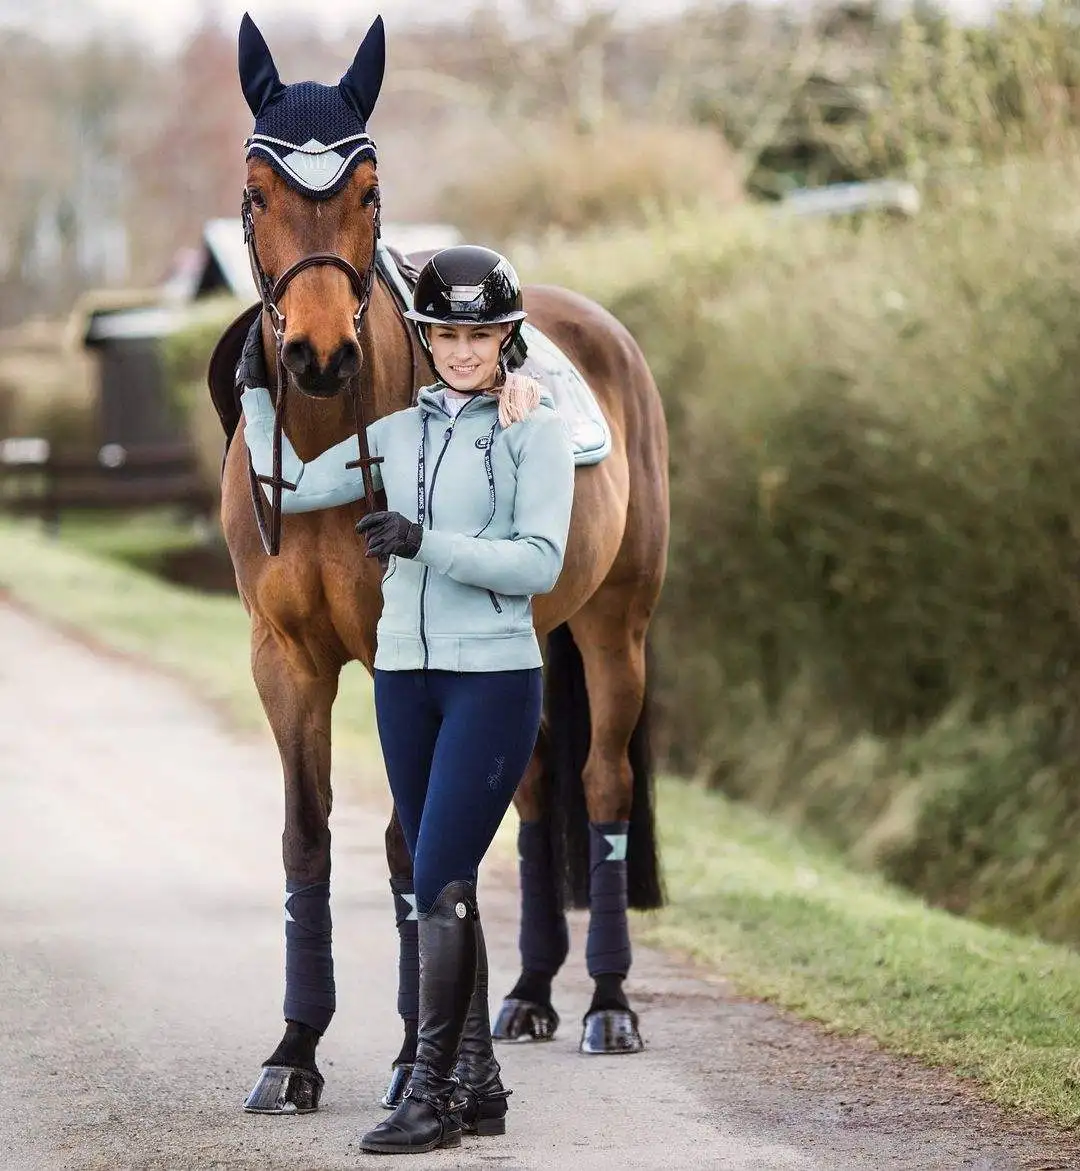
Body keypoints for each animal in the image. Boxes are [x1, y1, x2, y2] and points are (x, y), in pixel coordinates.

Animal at [208, 14, 669, 1114]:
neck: (333, 439)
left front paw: (408, 1056)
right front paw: (295, 1049)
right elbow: (309, 836)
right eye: (257, 190)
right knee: (537, 784)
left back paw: (606, 1003)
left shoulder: (399, 664)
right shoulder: (283, 658)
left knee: (598, 785)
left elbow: (408, 841)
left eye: (370, 191)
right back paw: (532, 992)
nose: (318, 355)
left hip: (616, 626)